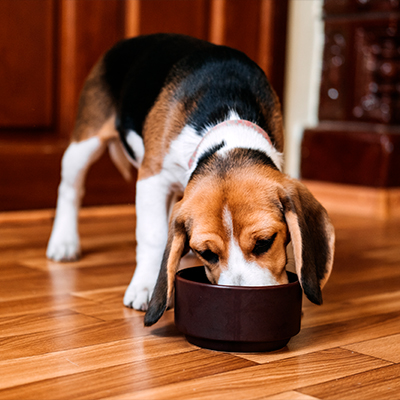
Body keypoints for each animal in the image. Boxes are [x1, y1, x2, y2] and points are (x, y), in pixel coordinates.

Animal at [47, 32, 334, 326]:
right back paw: (64, 242)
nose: (241, 303)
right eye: (207, 254)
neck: (227, 122)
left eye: (265, 243)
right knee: (70, 190)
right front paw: (145, 286)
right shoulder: (152, 178)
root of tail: (128, 41)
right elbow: (152, 235)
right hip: (84, 145)